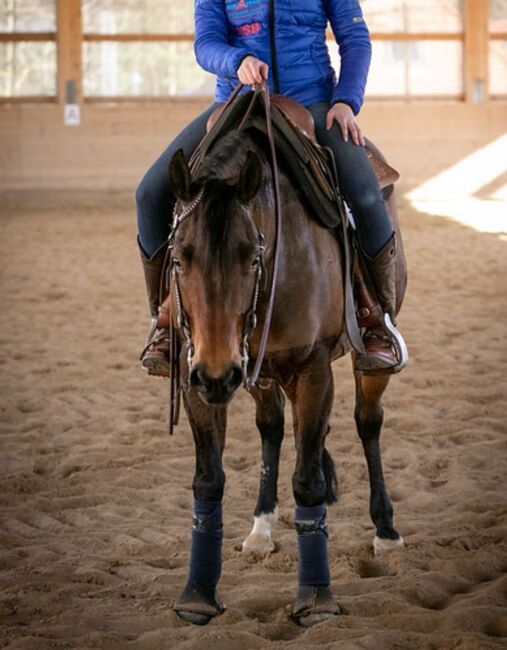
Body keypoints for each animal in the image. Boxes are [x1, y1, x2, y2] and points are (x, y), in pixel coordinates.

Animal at [167, 115, 408, 624]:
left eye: (252, 256)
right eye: (178, 257)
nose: (218, 375)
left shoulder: (312, 369)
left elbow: (309, 482)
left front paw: (315, 598)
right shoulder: (196, 373)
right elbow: (209, 477)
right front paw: (197, 593)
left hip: (364, 360)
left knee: (368, 423)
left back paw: (386, 533)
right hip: (256, 371)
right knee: (271, 426)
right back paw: (261, 527)